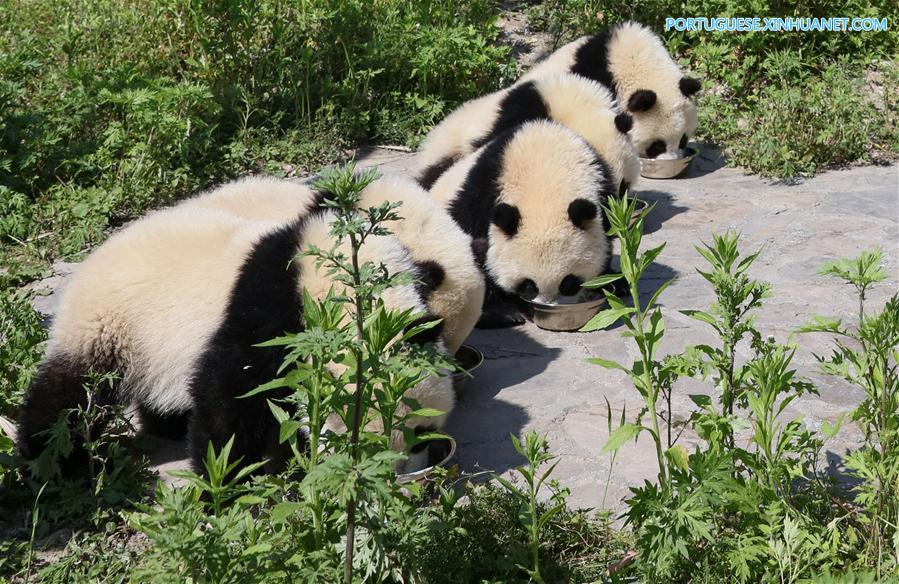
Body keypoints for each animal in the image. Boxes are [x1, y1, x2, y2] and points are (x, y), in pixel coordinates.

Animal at [19, 189, 458, 476]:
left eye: (423, 433)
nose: (401, 471)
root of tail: (91, 259)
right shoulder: (265, 315)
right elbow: (231, 397)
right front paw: (229, 478)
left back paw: (167, 424)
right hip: (109, 325)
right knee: (69, 394)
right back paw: (50, 458)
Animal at [430, 120, 616, 328]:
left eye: (568, 283)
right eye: (528, 285)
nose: (548, 305)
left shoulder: (602, 186)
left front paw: (612, 281)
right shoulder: (482, 194)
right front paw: (499, 311)